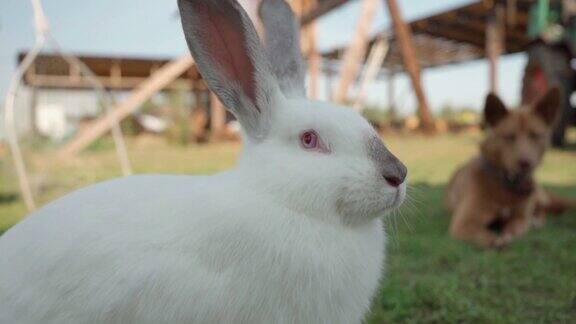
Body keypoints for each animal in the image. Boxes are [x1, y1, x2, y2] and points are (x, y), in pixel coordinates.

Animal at [446, 86, 572, 248]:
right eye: (509, 137)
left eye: (535, 135)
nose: (525, 163)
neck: (506, 185)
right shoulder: (464, 223)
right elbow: (486, 236)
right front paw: (497, 240)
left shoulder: (520, 218)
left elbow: (512, 229)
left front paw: (507, 234)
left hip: (537, 197)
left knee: (542, 210)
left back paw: (536, 221)